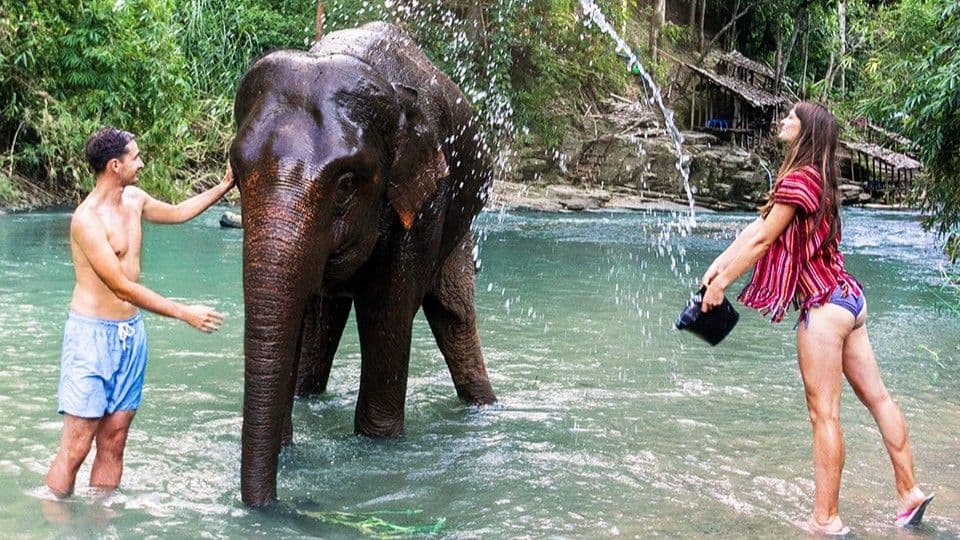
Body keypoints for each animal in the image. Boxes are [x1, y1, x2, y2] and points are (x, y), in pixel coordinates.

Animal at [229, 22, 498, 506]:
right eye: (235, 174)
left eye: (347, 182)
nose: (273, 504)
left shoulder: (425, 201)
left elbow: (387, 310)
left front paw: (378, 447)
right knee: (324, 317)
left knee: (453, 313)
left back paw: (485, 407)